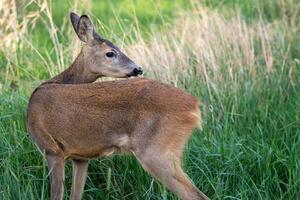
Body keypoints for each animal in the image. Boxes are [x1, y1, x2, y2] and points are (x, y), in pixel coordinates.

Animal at [25, 12, 210, 200]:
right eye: (110, 53)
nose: (138, 69)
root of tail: (194, 106)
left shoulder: (52, 150)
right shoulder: (81, 156)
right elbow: (76, 195)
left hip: (156, 152)